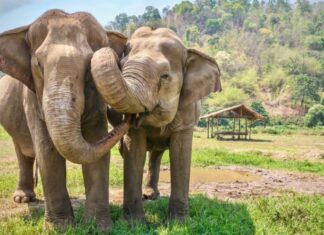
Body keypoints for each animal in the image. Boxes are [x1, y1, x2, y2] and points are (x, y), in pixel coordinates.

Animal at [0, 10, 132, 230]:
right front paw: (59, 228)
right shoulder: (32, 97)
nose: (130, 117)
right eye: (38, 64)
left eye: (89, 66)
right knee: (23, 152)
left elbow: (95, 143)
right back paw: (23, 199)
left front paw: (97, 227)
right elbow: (47, 151)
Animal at [91, 26, 223, 221]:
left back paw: (151, 195)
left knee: (156, 154)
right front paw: (134, 222)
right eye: (121, 66)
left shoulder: (188, 112)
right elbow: (134, 152)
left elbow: (181, 155)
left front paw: (179, 221)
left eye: (165, 77)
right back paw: (146, 196)